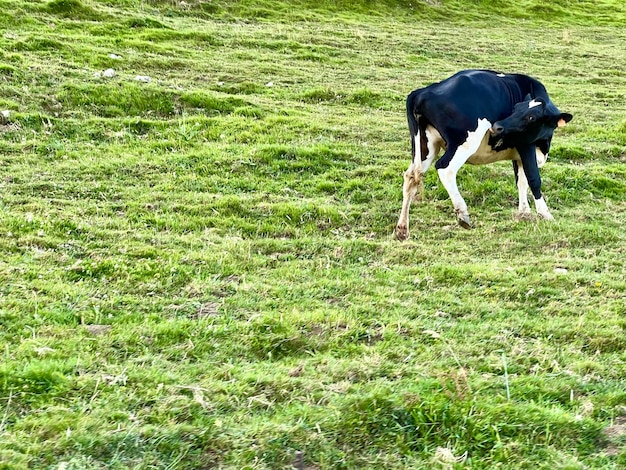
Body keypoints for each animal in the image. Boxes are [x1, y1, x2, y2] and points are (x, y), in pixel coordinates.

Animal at [394, 69, 572, 242]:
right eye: (515, 108)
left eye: (531, 116)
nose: (498, 126)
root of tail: (424, 91)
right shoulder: (526, 145)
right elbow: (534, 179)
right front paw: (545, 214)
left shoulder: (518, 155)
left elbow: (522, 182)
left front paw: (524, 213)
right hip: (464, 142)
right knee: (445, 168)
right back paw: (463, 214)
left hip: (425, 145)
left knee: (411, 177)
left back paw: (402, 229)